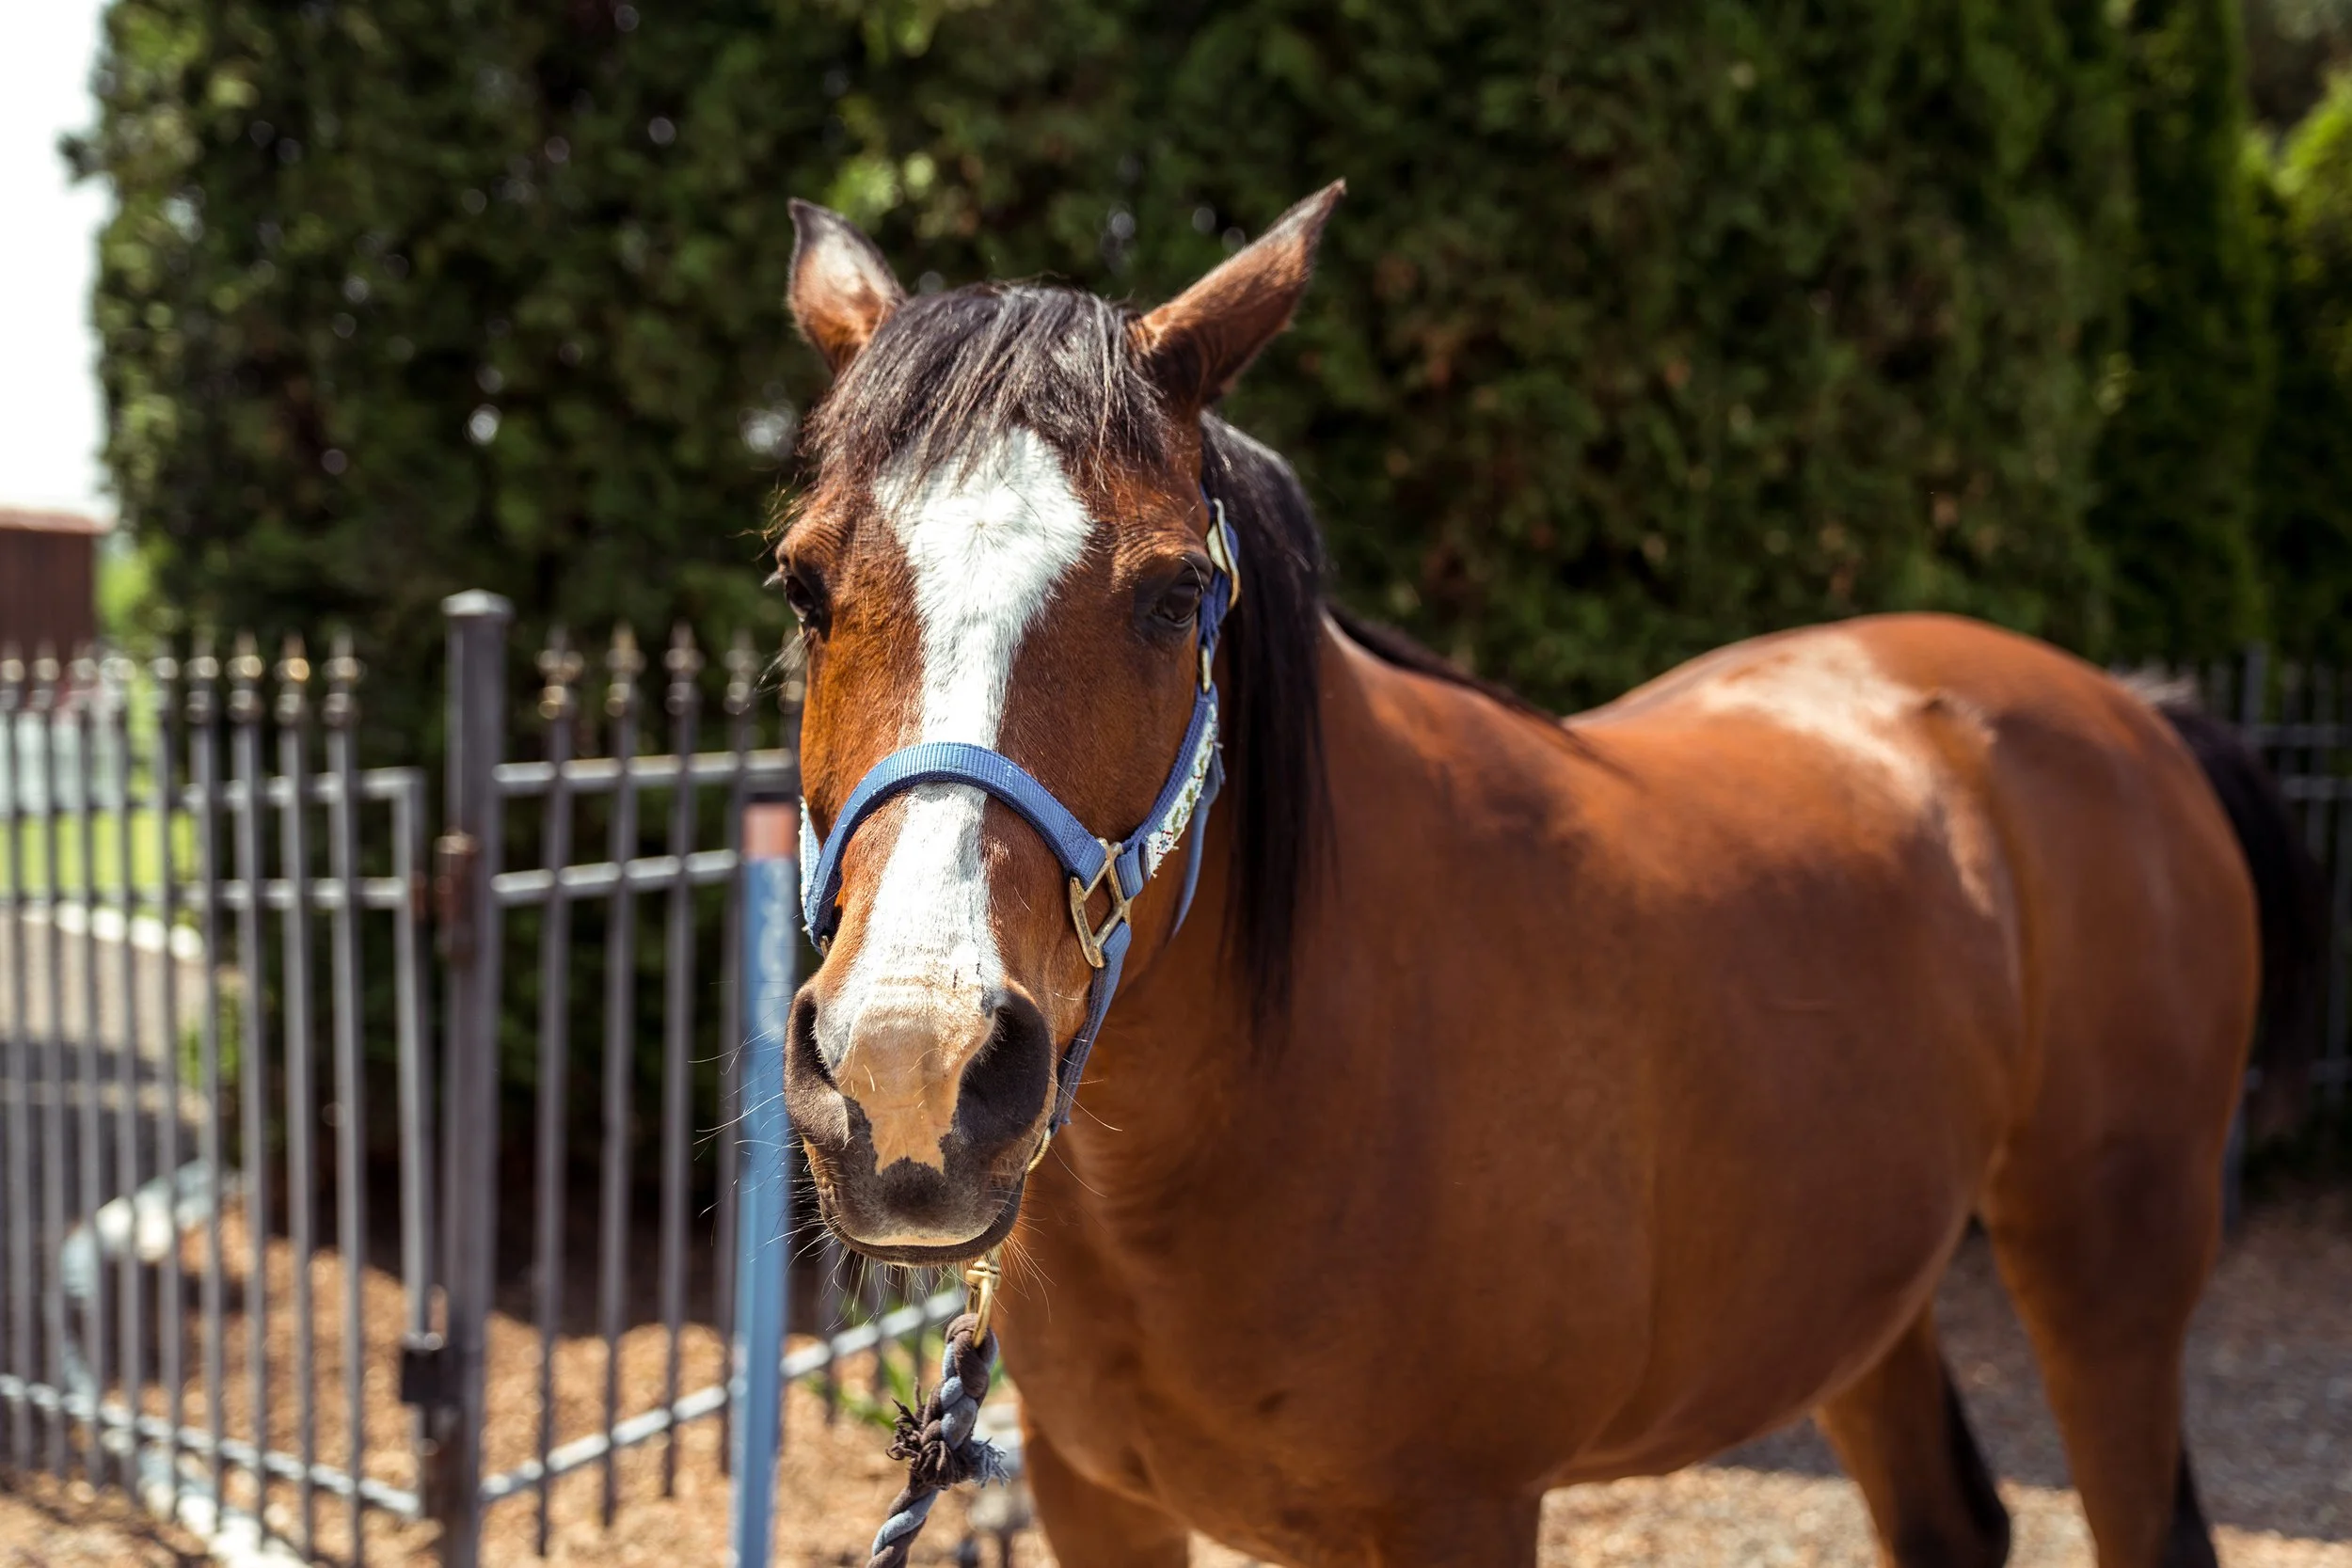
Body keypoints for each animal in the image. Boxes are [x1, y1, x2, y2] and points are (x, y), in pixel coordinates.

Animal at [773, 184, 2323, 1567]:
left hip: (2109, 1273)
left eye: (1173, 596)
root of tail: (2130, 709)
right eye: (802, 584)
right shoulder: (1099, 1501)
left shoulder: (1459, 1511)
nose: (911, 1066)